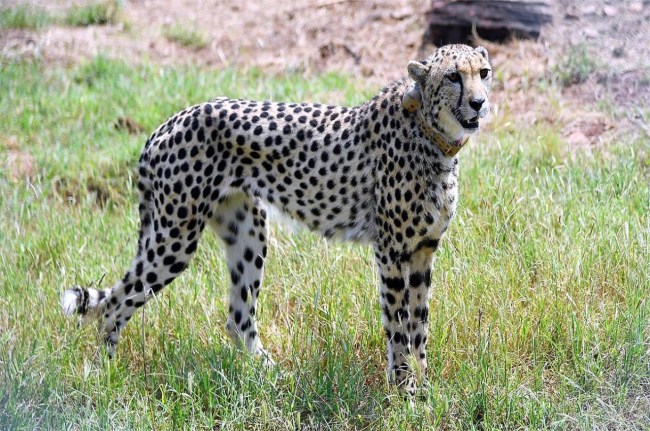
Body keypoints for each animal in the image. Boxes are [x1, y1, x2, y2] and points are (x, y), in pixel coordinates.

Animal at [61, 44, 492, 395]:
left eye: (483, 73)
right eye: (453, 76)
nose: (479, 103)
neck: (432, 134)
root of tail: (167, 124)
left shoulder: (423, 250)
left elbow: (420, 324)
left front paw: (424, 385)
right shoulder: (391, 251)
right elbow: (399, 325)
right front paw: (405, 390)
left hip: (247, 232)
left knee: (238, 317)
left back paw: (271, 375)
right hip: (174, 238)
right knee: (115, 303)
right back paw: (106, 374)